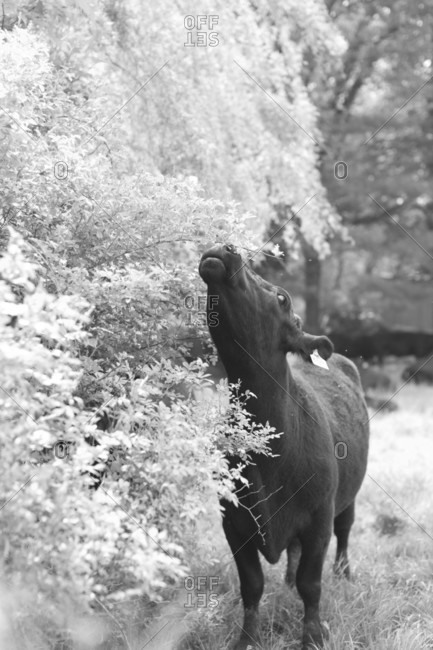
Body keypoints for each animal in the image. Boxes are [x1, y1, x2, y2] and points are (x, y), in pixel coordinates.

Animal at [199, 244, 370, 650]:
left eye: (281, 297)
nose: (224, 247)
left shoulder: (319, 517)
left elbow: (312, 583)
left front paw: (313, 635)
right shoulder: (233, 521)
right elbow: (252, 585)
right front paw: (247, 638)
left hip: (349, 495)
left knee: (345, 532)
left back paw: (344, 573)